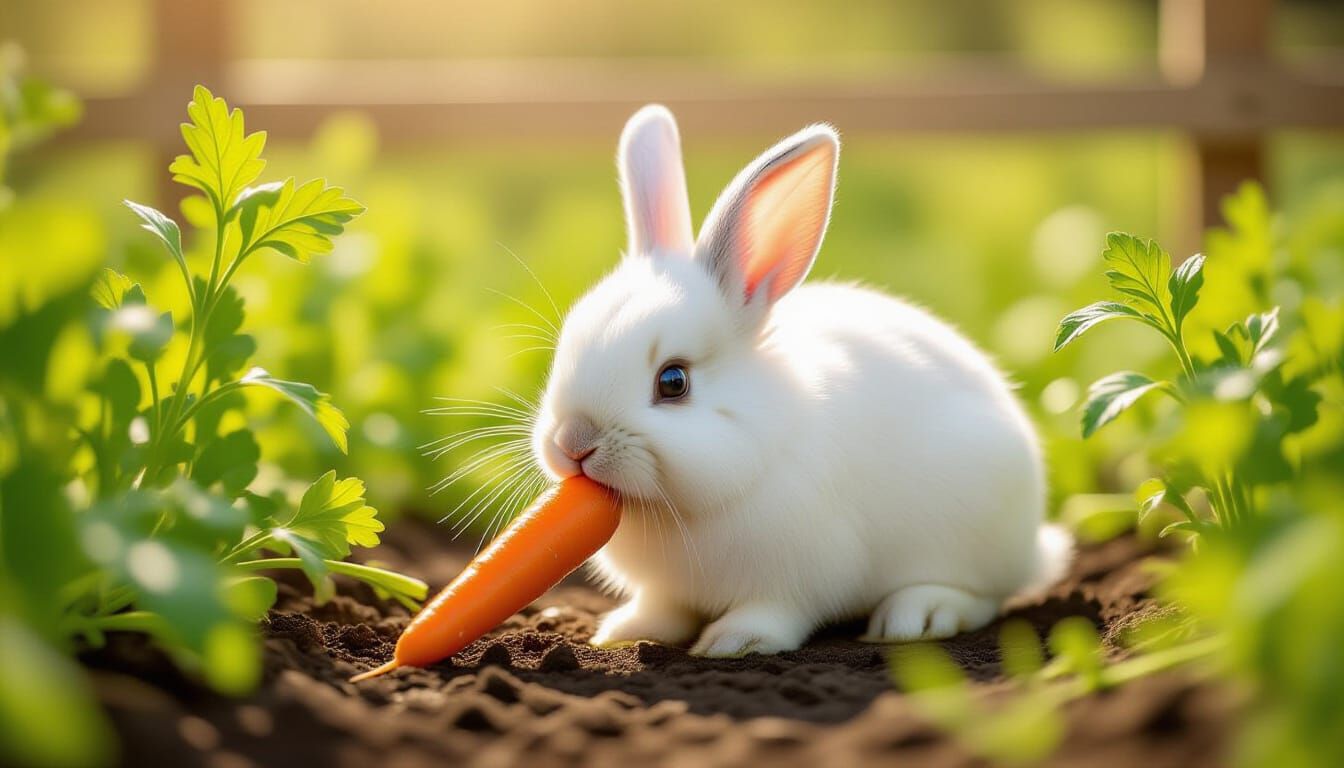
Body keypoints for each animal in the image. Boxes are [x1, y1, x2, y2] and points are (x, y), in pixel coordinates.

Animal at [530, 104, 1072, 657]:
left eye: (674, 381)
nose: (573, 442)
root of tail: (1035, 548)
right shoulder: (668, 590)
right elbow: (664, 609)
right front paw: (623, 631)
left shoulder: (796, 578)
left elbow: (775, 612)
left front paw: (732, 642)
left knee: (983, 596)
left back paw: (919, 615)